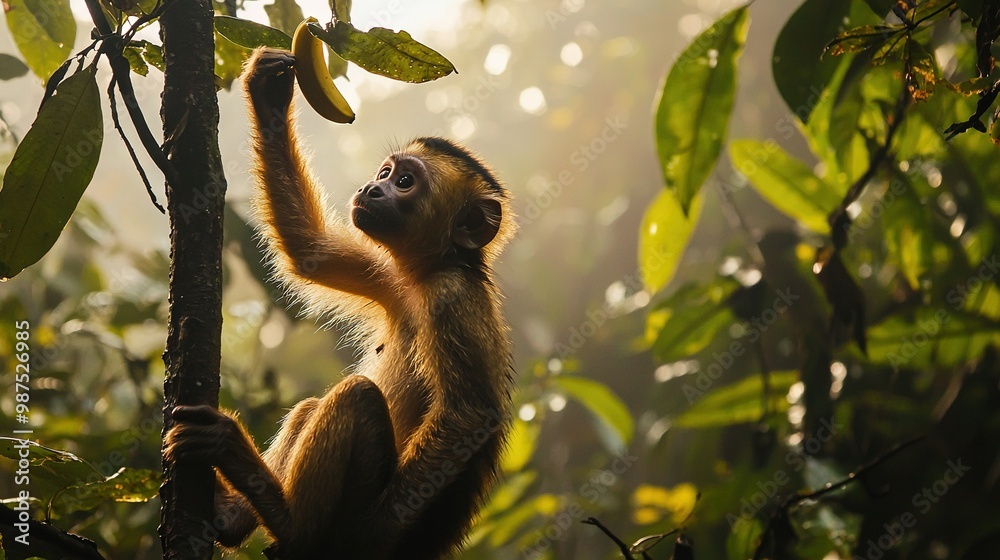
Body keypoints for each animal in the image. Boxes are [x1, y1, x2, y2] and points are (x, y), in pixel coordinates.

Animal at [163, 47, 516, 559]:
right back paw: (233, 514)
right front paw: (270, 92)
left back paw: (290, 523)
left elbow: (467, 417)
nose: (373, 188)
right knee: (317, 404)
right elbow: (308, 250)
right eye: (385, 174)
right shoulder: (390, 277)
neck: (424, 275)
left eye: (404, 181)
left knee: (357, 397)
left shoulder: (452, 295)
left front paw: (367, 534)